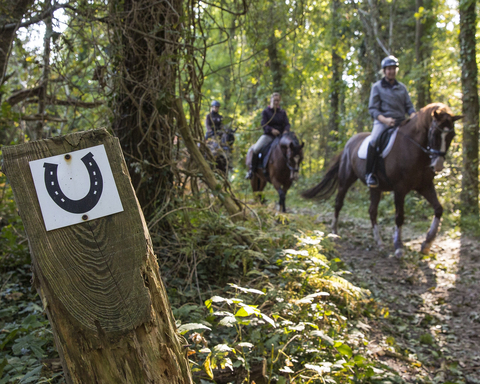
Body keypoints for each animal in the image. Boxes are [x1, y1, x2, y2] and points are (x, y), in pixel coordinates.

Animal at [302, 103, 464, 256]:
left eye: (452, 135)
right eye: (435, 133)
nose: (438, 165)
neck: (413, 149)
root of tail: (349, 142)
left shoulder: (425, 185)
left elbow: (438, 209)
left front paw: (427, 244)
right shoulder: (400, 189)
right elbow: (399, 216)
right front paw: (398, 247)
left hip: (376, 188)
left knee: (372, 211)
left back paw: (379, 242)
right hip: (345, 180)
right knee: (338, 203)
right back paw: (334, 231)